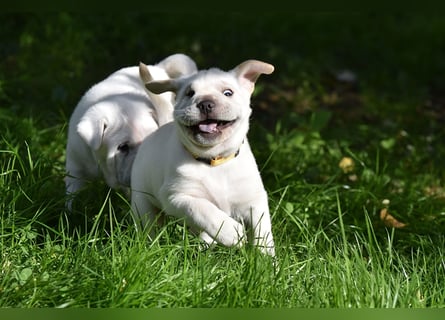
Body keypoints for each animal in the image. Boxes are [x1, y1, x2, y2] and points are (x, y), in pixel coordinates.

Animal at [65, 53, 197, 209]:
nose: (144, 163)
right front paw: (70, 211)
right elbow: (72, 192)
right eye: (123, 147)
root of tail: (157, 67)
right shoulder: (75, 164)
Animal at [130, 59, 274, 255]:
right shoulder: (175, 196)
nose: (206, 103)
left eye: (228, 93)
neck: (215, 161)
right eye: (190, 93)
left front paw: (266, 260)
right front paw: (231, 232)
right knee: (149, 226)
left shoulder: (254, 200)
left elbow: (263, 233)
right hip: (142, 201)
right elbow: (203, 209)